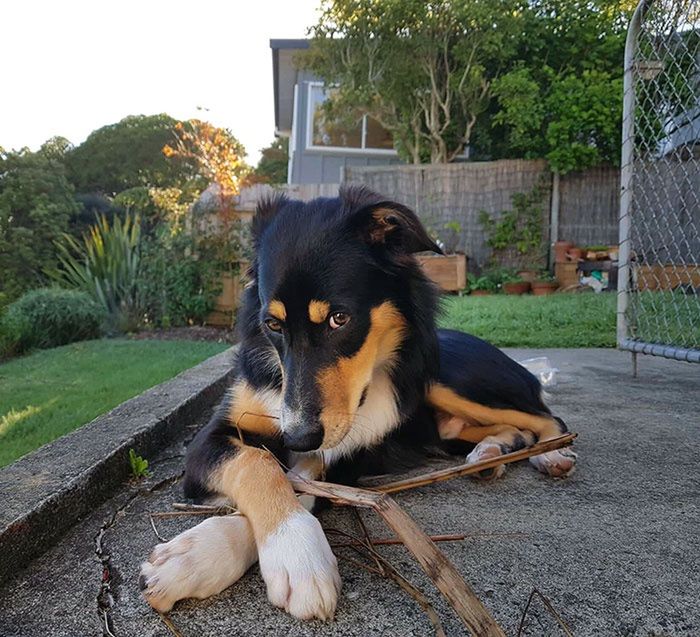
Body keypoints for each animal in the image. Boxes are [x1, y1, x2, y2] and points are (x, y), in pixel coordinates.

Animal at [139, 186, 576, 620]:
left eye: (339, 318)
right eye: (273, 324)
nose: (297, 437)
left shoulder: (345, 456)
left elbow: (292, 477)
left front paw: (292, 554)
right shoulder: (213, 438)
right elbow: (260, 462)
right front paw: (202, 556)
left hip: (444, 379)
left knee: (547, 416)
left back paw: (552, 453)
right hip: (446, 426)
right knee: (509, 429)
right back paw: (491, 452)